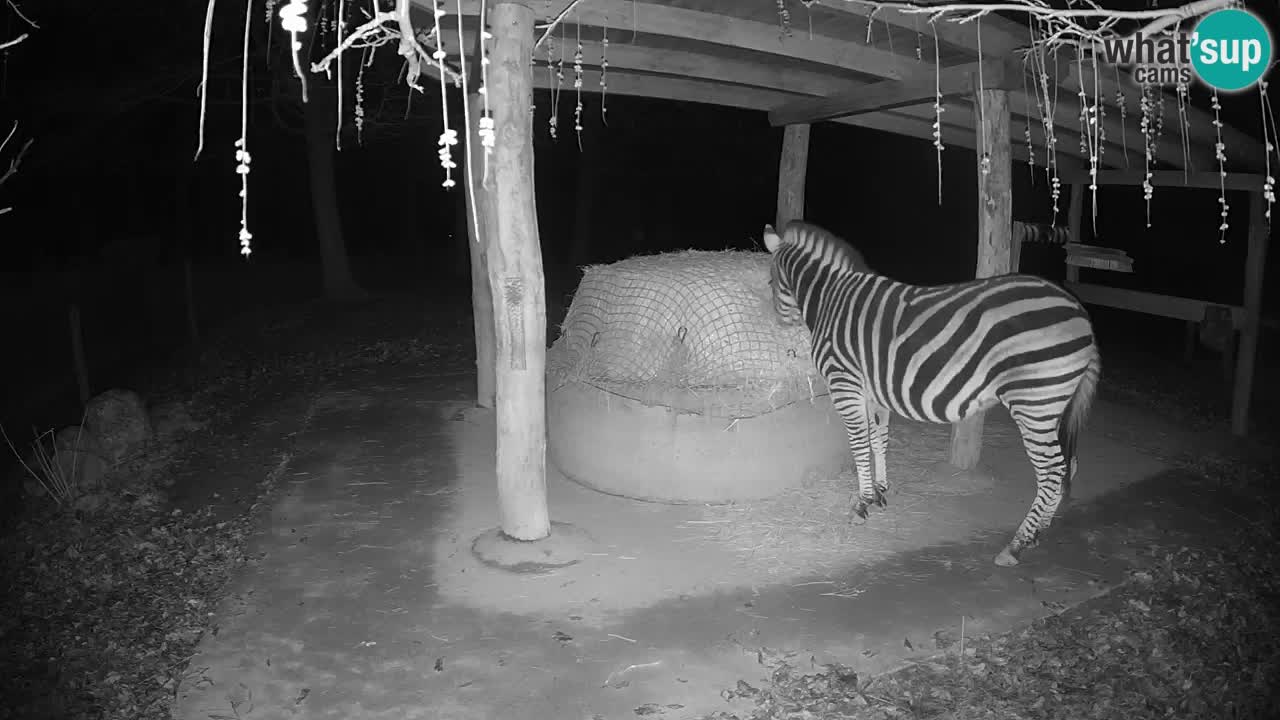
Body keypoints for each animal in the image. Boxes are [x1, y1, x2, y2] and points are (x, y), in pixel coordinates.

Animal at [757, 219, 1100, 566]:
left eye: (771, 281)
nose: (780, 326)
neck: (831, 297)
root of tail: (1081, 313)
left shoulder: (844, 383)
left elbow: (858, 444)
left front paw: (861, 505)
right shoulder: (872, 390)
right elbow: (878, 439)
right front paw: (880, 491)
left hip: (1034, 403)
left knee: (1052, 471)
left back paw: (1016, 545)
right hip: (1053, 404)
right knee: (1067, 467)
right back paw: (1038, 533)